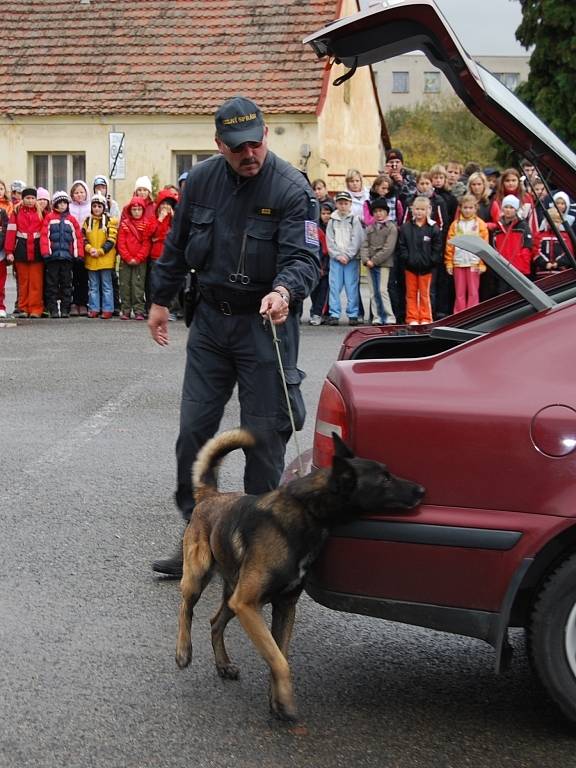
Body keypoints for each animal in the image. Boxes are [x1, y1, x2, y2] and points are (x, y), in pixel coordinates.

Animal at [174, 428, 424, 724]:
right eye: (385, 479)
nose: (421, 490)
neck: (307, 512)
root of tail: (211, 495)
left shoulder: (280, 606)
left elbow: (278, 655)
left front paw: (278, 701)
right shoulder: (248, 605)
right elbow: (279, 660)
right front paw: (286, 702)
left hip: (233, 596)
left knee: (215, 622)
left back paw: (223, 664)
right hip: (199, 577)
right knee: (186, 608)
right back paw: (183, 651)